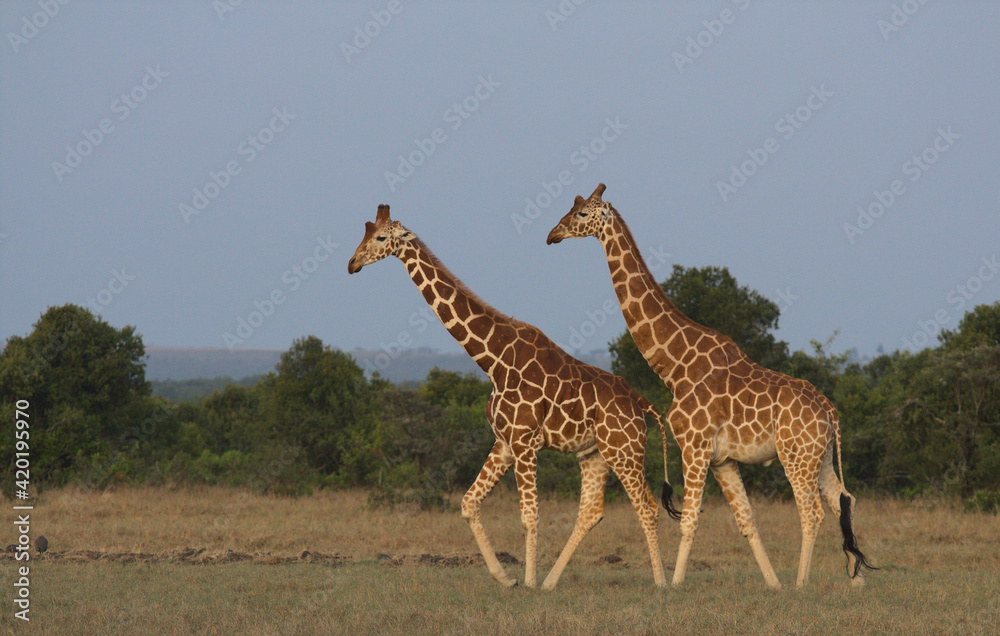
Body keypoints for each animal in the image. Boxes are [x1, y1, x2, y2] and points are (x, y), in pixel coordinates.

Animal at [348, 204, 680, 590]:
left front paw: (529, 581)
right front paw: (506, 579)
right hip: (594, 453)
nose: (352, 263)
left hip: (624, 450)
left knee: (647, 508)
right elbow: (468, 503)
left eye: (380, 237)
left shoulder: (524, 442)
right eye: (364, 232)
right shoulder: (504, 442)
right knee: (592, 512)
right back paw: (553, 581)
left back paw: (659, 582)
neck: (492, 360)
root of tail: (642, 403)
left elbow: (529, 516)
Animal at [546, 184, 876, 589]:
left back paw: (802, 584)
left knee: (813, 511)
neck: (676, 367)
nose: (553, 234)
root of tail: (829, 410)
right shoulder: (723, 460)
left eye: (581, 214)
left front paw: (674, 586)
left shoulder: (695, 445)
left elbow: (689, 520)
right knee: (843, 499)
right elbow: (746, 520)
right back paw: (855, 581)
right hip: (822, 455)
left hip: (796, 456)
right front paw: (772, 584)